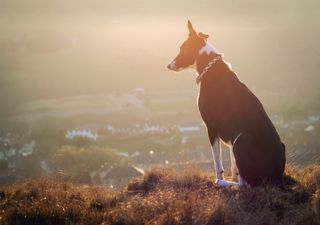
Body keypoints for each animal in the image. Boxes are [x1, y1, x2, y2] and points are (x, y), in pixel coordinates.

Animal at [168, 21, 284, 187]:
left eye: (182, 49)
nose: (168, 65)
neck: (210, 68)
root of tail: (277, 178)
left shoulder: (211, 127)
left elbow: (217, 162)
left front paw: (220, 178)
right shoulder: (230, 134)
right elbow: (233, 163)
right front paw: (233, 175)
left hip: (241, 140)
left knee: (245, 185)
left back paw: (222, 183)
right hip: (261, 143)